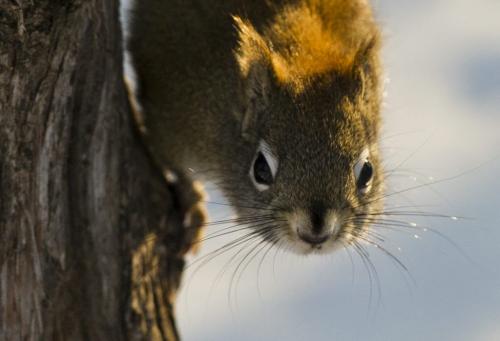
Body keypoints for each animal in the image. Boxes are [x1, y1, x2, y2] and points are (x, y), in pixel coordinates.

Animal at [128, 0, 382, 252]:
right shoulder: (170, 122)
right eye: (261, 170)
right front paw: (193, 204)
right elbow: (177, 170)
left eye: (367, 172)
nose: (316, 235)